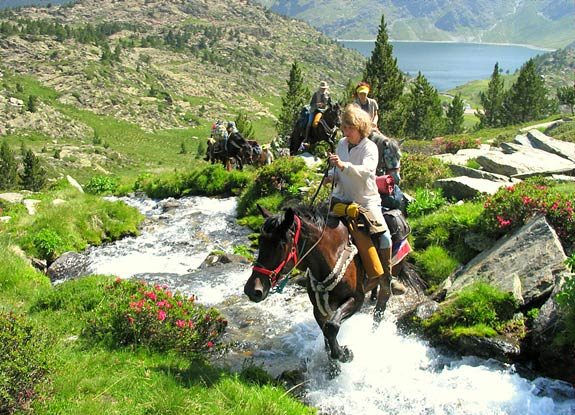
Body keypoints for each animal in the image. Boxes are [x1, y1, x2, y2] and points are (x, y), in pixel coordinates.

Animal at [245, 205, 420, 364]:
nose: (252, 290)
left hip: (389, 273)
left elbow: (332, 327)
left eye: (281, 243)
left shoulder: (356, 299)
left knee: (380, 308)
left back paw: (373, 333)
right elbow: (326, 333)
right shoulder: (319, 308)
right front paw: (334, 366)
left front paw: (344, 354)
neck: (332, 256)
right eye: (260, 240)